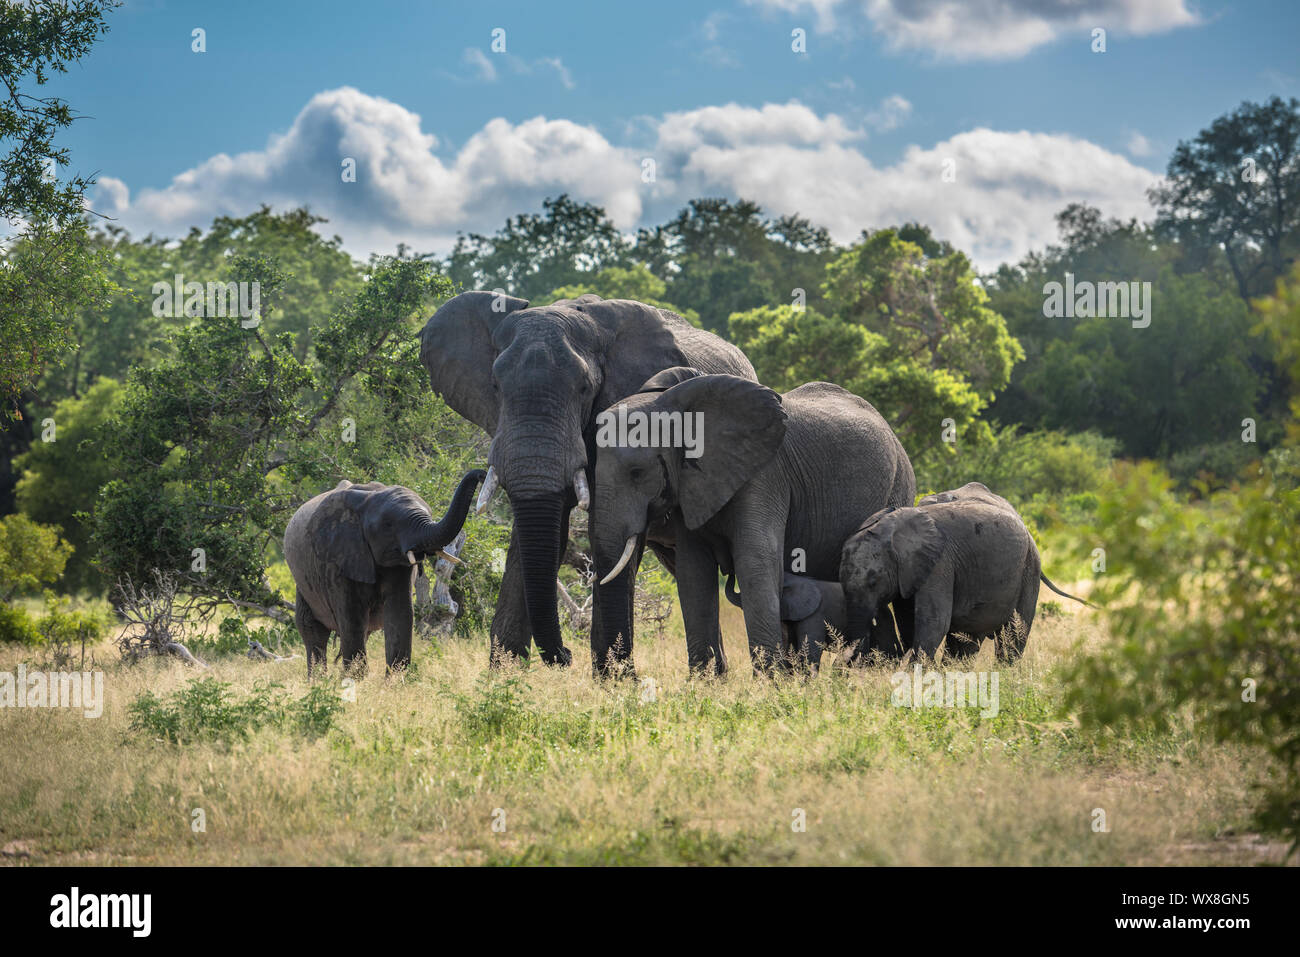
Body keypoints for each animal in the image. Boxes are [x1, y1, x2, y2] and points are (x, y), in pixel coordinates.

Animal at [286, 468, 488, 670]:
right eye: (388, 525)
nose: (482, 474)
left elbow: (399, 614)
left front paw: (396, 677)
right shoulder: (336, 559)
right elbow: (351, 620)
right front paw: (356, 678)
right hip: (304, 583)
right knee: (313, 631)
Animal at [421, 291, 759, 670]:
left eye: (585, 389)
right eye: (495, 386)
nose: (567, 655)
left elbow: (605, 531)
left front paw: (613, 677)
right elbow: (538, 535)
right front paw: (504, 674)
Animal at [592, 369, 915, 670]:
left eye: (637, 473)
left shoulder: (765, 475)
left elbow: (754, 561)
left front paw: (771, 680)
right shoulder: (690, 486)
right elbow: (694, 571)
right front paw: (704, 682)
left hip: (900, 485)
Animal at [837, 481, 1092, 660]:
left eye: (874, 582)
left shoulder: (940, 564)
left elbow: (933, 623)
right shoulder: (910, 573)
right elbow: (909, 623)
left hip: (1029, 570)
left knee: (1011, 640)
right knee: (964, 645)